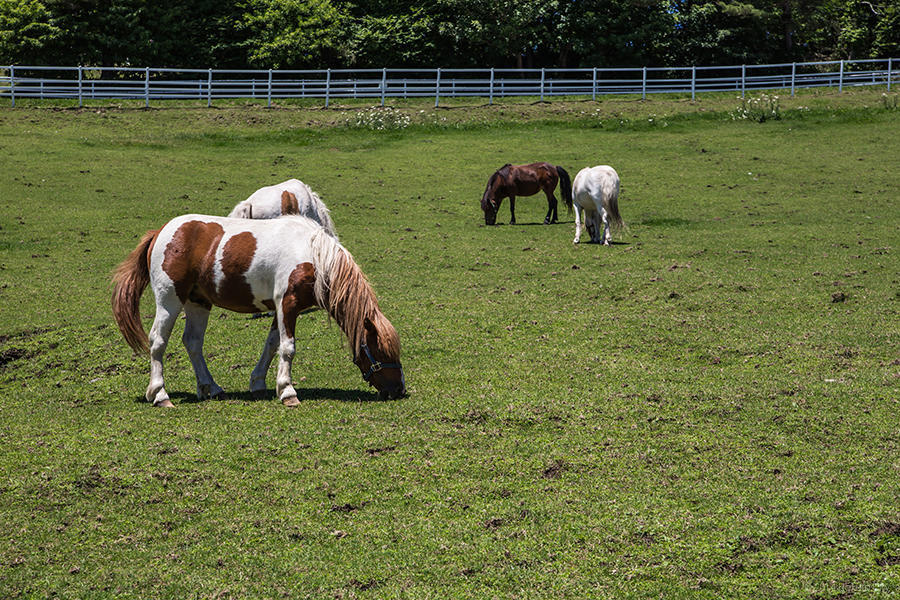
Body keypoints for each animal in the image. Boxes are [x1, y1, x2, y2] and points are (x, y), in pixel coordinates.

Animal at [111, 213, 404, 406]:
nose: (398, 389)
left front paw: (260, 384)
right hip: (169, 300)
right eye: (379, 350)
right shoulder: (287, 303)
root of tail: (160, 232)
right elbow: (288, 348)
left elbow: (272, 345)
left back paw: (210, 387)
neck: (313, 255)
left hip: (198, 302)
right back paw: (160, 395)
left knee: (192, 342)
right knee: (158, 342)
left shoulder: (281, 308)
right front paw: (288, 392)